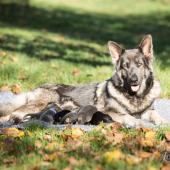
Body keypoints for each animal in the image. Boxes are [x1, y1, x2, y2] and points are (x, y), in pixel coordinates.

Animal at [0, 34, 166, 127]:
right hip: (39, 105)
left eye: (139, 64)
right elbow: (128, 116)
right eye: (125, 66)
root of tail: (37, 88)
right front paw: (139, 122)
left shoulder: (148, 111)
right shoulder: (110, 112)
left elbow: (155, 115)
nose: (133, 80)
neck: (134, 98)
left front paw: (163, 122)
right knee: (12, 113)